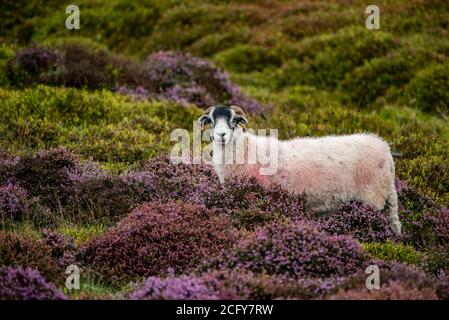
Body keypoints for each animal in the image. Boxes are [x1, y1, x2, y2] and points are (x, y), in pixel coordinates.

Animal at [198, 105, 400, 235]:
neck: (246, 149)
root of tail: (385, 149)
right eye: (212, 120)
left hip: (372, 197)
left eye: (233, 120)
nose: (221, 135)